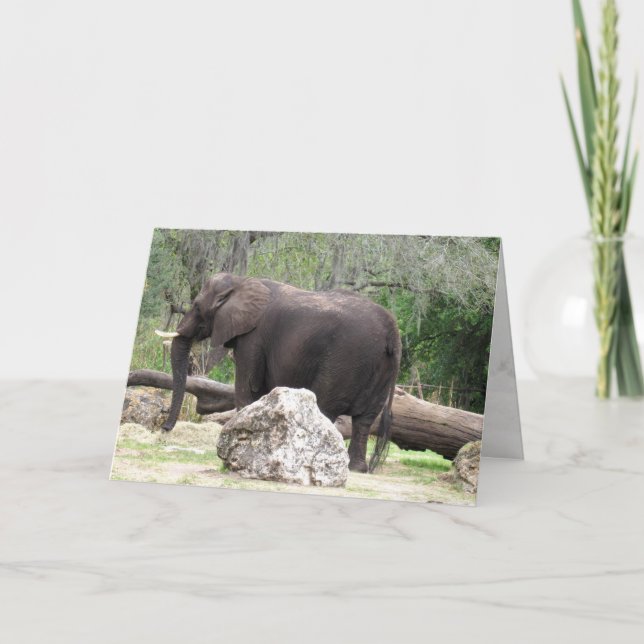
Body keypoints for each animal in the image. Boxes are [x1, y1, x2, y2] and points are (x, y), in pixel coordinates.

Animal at [162, 272, 402, 473]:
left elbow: (247, 386)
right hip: (382, 366)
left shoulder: (253, 337)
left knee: (326, 407)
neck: (241, 281)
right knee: (365, 420)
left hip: (345, 359)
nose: (164, 428)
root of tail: (392, 330)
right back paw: (356, 468)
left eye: (197, 306)